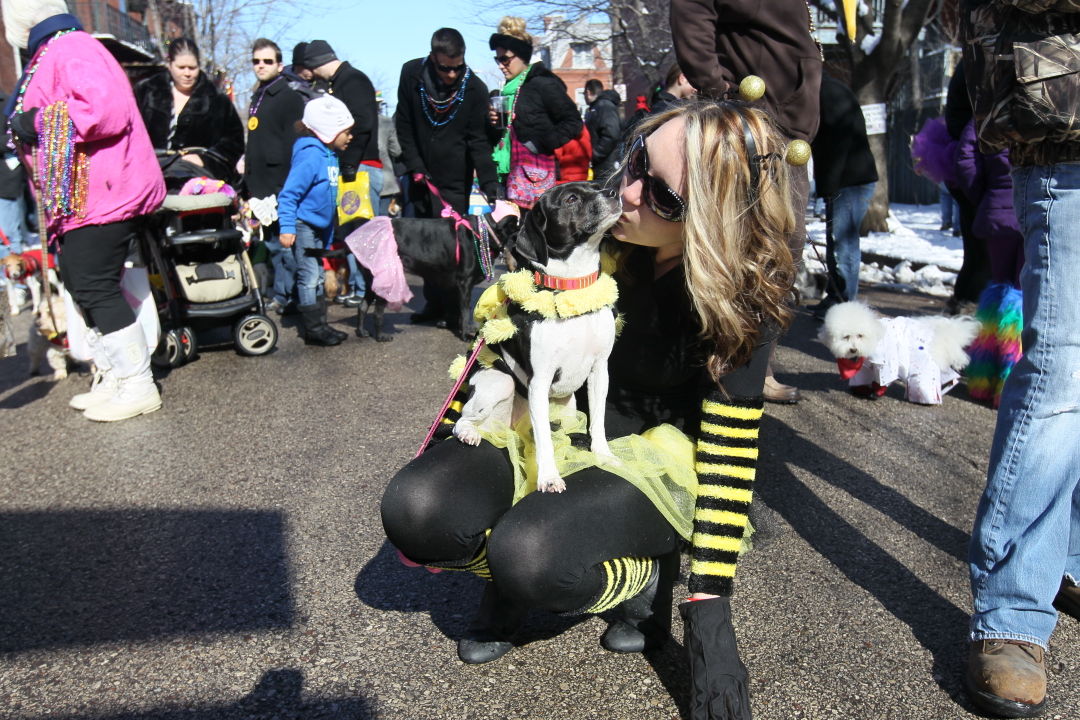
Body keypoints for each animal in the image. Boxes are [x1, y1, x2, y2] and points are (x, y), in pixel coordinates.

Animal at [451, 183, 622, 492]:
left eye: (596, 186)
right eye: (571, 198)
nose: (614, 191)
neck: (572, 286)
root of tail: (511, 425)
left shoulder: (600, 369)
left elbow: (598, 420)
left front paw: (603, 455)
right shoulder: (539, 379)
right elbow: (543, 438)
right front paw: (548, 477)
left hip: (566, 407)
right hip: (499, 382)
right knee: (462, 419)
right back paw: (469, 433)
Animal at [816, 302, 980, 405]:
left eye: (860, 335)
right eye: (845, 337)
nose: (853, 350)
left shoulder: (886, 363)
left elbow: (882, 380)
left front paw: (877, 393)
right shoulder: (864, 366)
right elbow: (861, 377)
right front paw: (860, 390)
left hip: (922, 364)